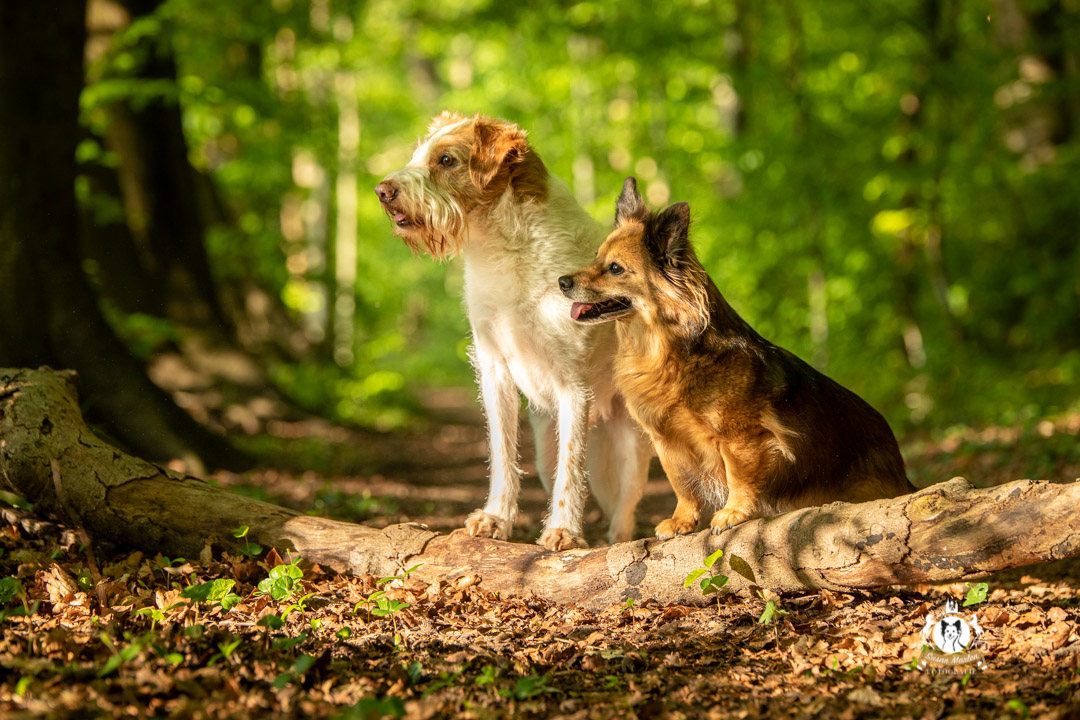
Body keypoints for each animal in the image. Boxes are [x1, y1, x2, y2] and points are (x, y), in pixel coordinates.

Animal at [375, 113, 652, 552]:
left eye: (447, 159)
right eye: (418, 155)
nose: (382, 191)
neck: (508, 245)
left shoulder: (574, 382)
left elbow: (571, 466)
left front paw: (564, 530)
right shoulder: (495, 369)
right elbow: (503, 452)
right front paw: (496, 518)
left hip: (631, 449)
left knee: (623, 510)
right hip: (547, 444)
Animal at [561, 177, 915, 537]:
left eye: (615, 269)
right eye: (595, 259)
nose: (562, 281)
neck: (665, 352)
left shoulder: (743, 438)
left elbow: (738, 476)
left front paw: (735, 511)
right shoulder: (666, 440)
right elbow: (682, 484)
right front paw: (682, 520)